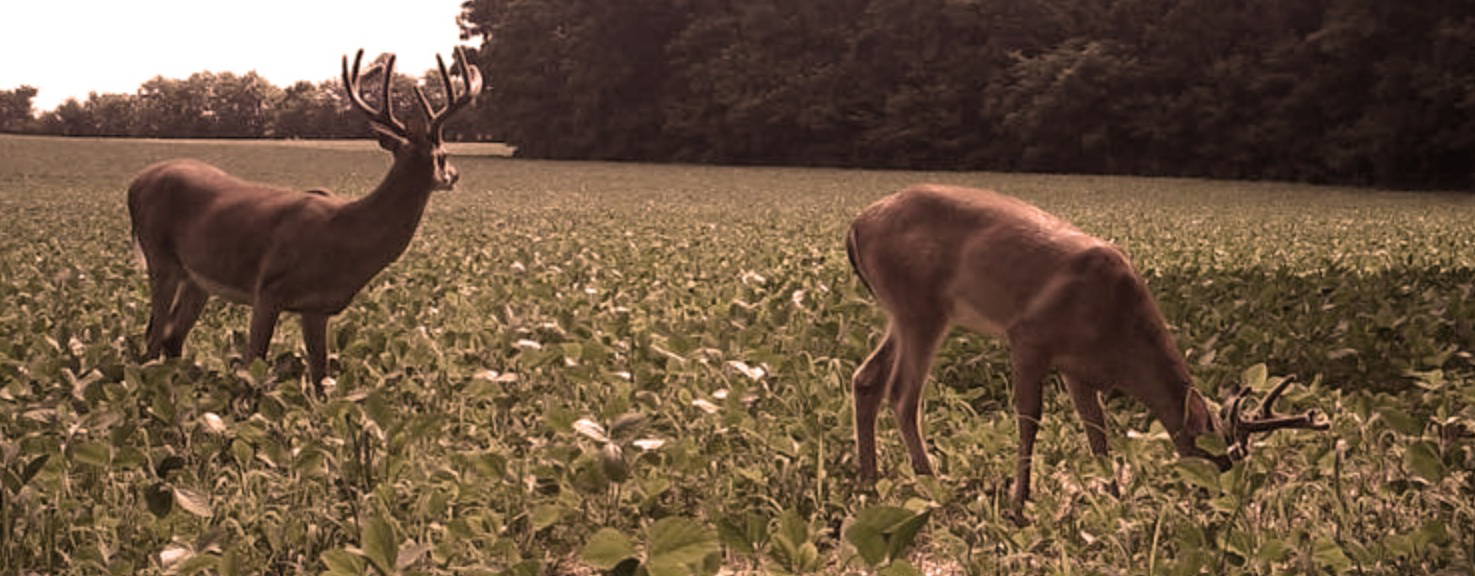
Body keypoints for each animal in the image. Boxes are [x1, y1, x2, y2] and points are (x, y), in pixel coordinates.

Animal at [129, 48, 480, 391]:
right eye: (444, 155)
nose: (455, 175)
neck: (347, 235)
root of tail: (137, 182)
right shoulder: (268, 289)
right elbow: (252, 369)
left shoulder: (316, 309)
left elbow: (320, 378)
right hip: (159, 258)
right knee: (153, 338)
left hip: (196, 279)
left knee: (172, 336)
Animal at [849, 184, 1333, 515]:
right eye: (1217, 458)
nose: (1223, 504)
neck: (1119, 331)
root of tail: (857, 225)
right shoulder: (1029, 337)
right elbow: (1030, 421)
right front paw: (1019, 505)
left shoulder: (1078, 371)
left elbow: (1098, 436)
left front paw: (1115, 502)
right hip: (921, 307)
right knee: (903, 394)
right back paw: (932, 484)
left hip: (907, 312)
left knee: (866, 378)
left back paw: (870, 481)